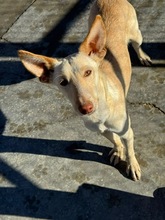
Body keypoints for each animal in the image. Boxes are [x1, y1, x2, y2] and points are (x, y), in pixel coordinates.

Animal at [18, 0, 151, 180]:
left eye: (88, 72)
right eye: (63, 82)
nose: (85, 108)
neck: (100, 113)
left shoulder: (127, 132)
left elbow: (130, 151)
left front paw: (132, 165)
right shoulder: (100, 130)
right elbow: (114, 139)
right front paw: (118, 151)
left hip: (137, 34)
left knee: (137, 45)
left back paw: (143, 56)